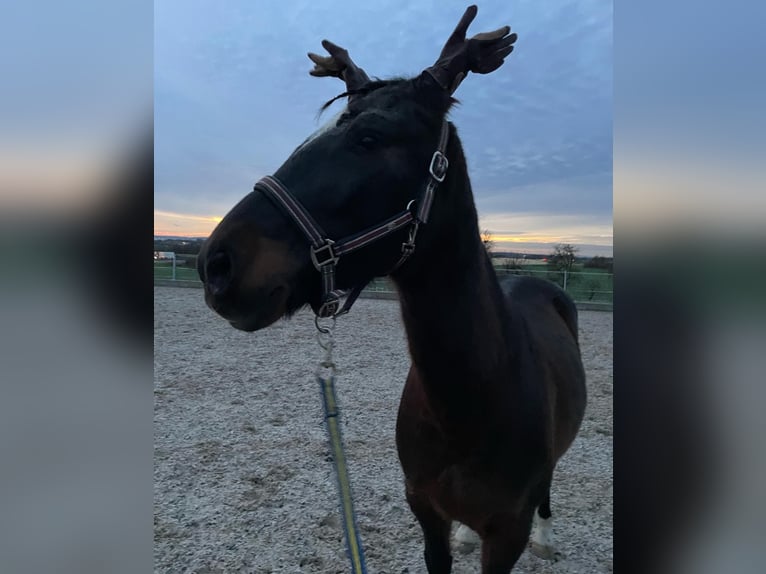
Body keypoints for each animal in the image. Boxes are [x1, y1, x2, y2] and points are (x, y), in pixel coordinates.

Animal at [198, 6, 588, 572]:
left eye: (369, 138)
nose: (216, 265)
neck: (470, 406)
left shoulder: (506, 534)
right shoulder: (425, 510)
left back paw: (550, 536)